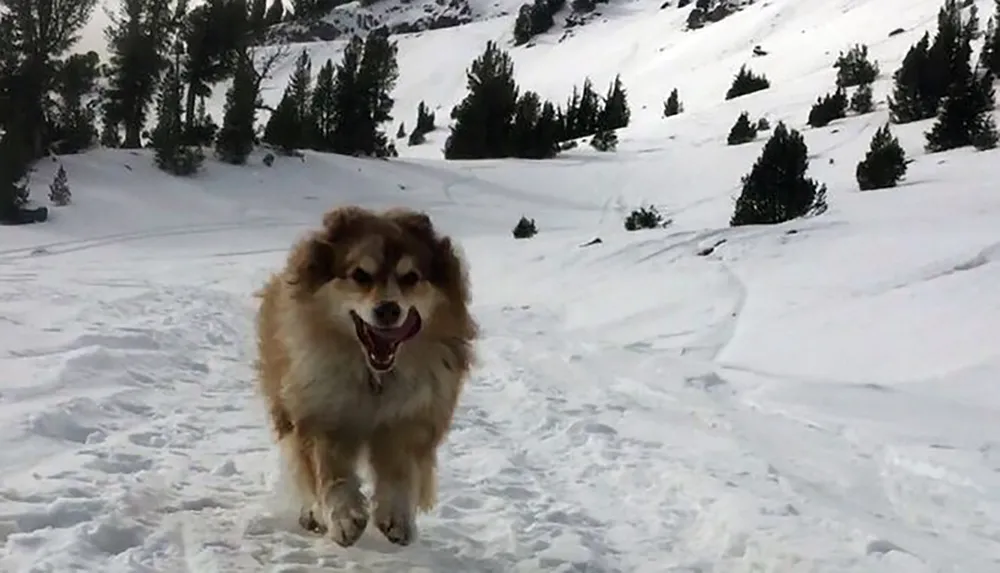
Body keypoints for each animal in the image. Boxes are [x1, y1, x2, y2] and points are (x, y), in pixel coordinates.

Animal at [256, 204, 478, 544]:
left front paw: (396, 516)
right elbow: (329, 471)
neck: (374, 377)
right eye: (360, 275)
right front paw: (345, 517)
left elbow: (401, 471)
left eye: (411, 277)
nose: (388, 309)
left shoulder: (409, 417)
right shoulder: (320, 412)